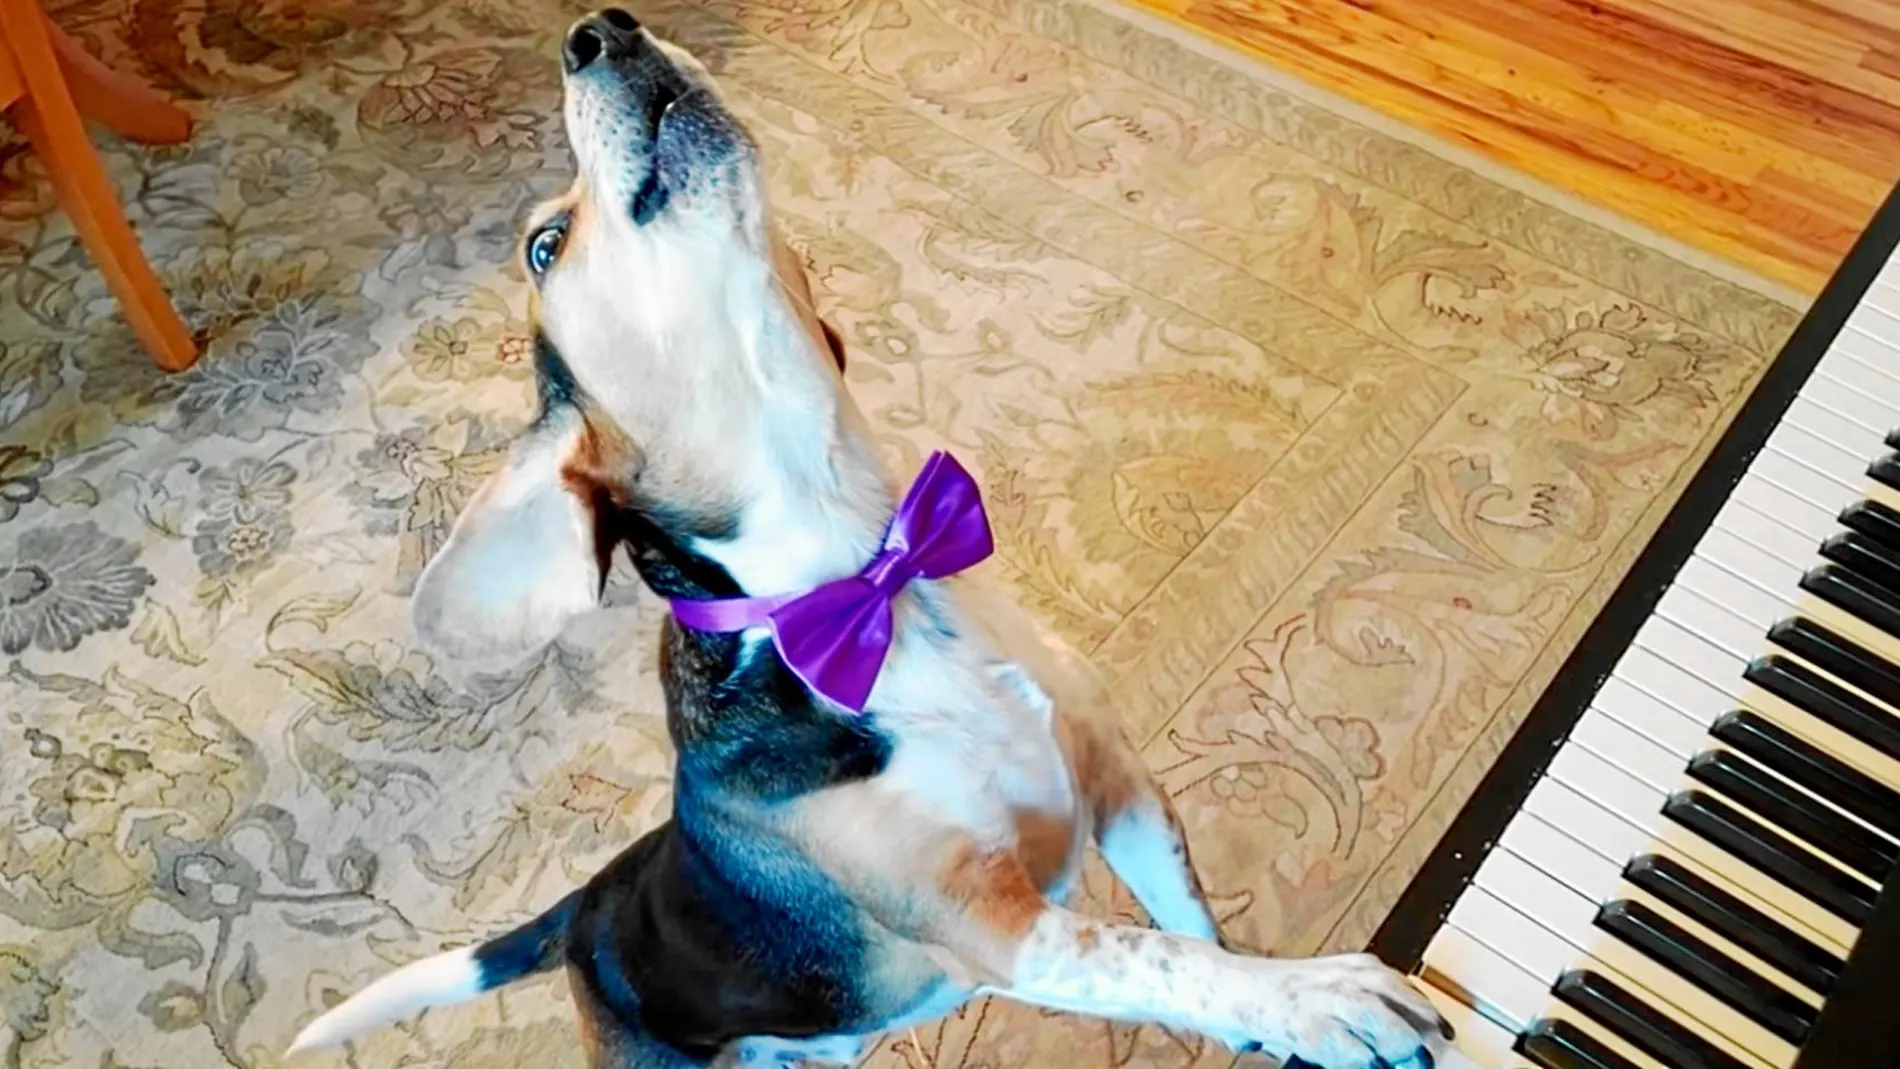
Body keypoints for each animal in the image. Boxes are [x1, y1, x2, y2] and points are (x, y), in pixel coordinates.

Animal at [281, 10, 1444, 1069]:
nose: (596, 29)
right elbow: (1162, 956)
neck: (871, 579)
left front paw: (1276, 1013)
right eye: (542, 244)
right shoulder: (1001, 925)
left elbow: (1198, 931)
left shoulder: (1122, 786)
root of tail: (585, 908)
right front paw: (1322, 997)